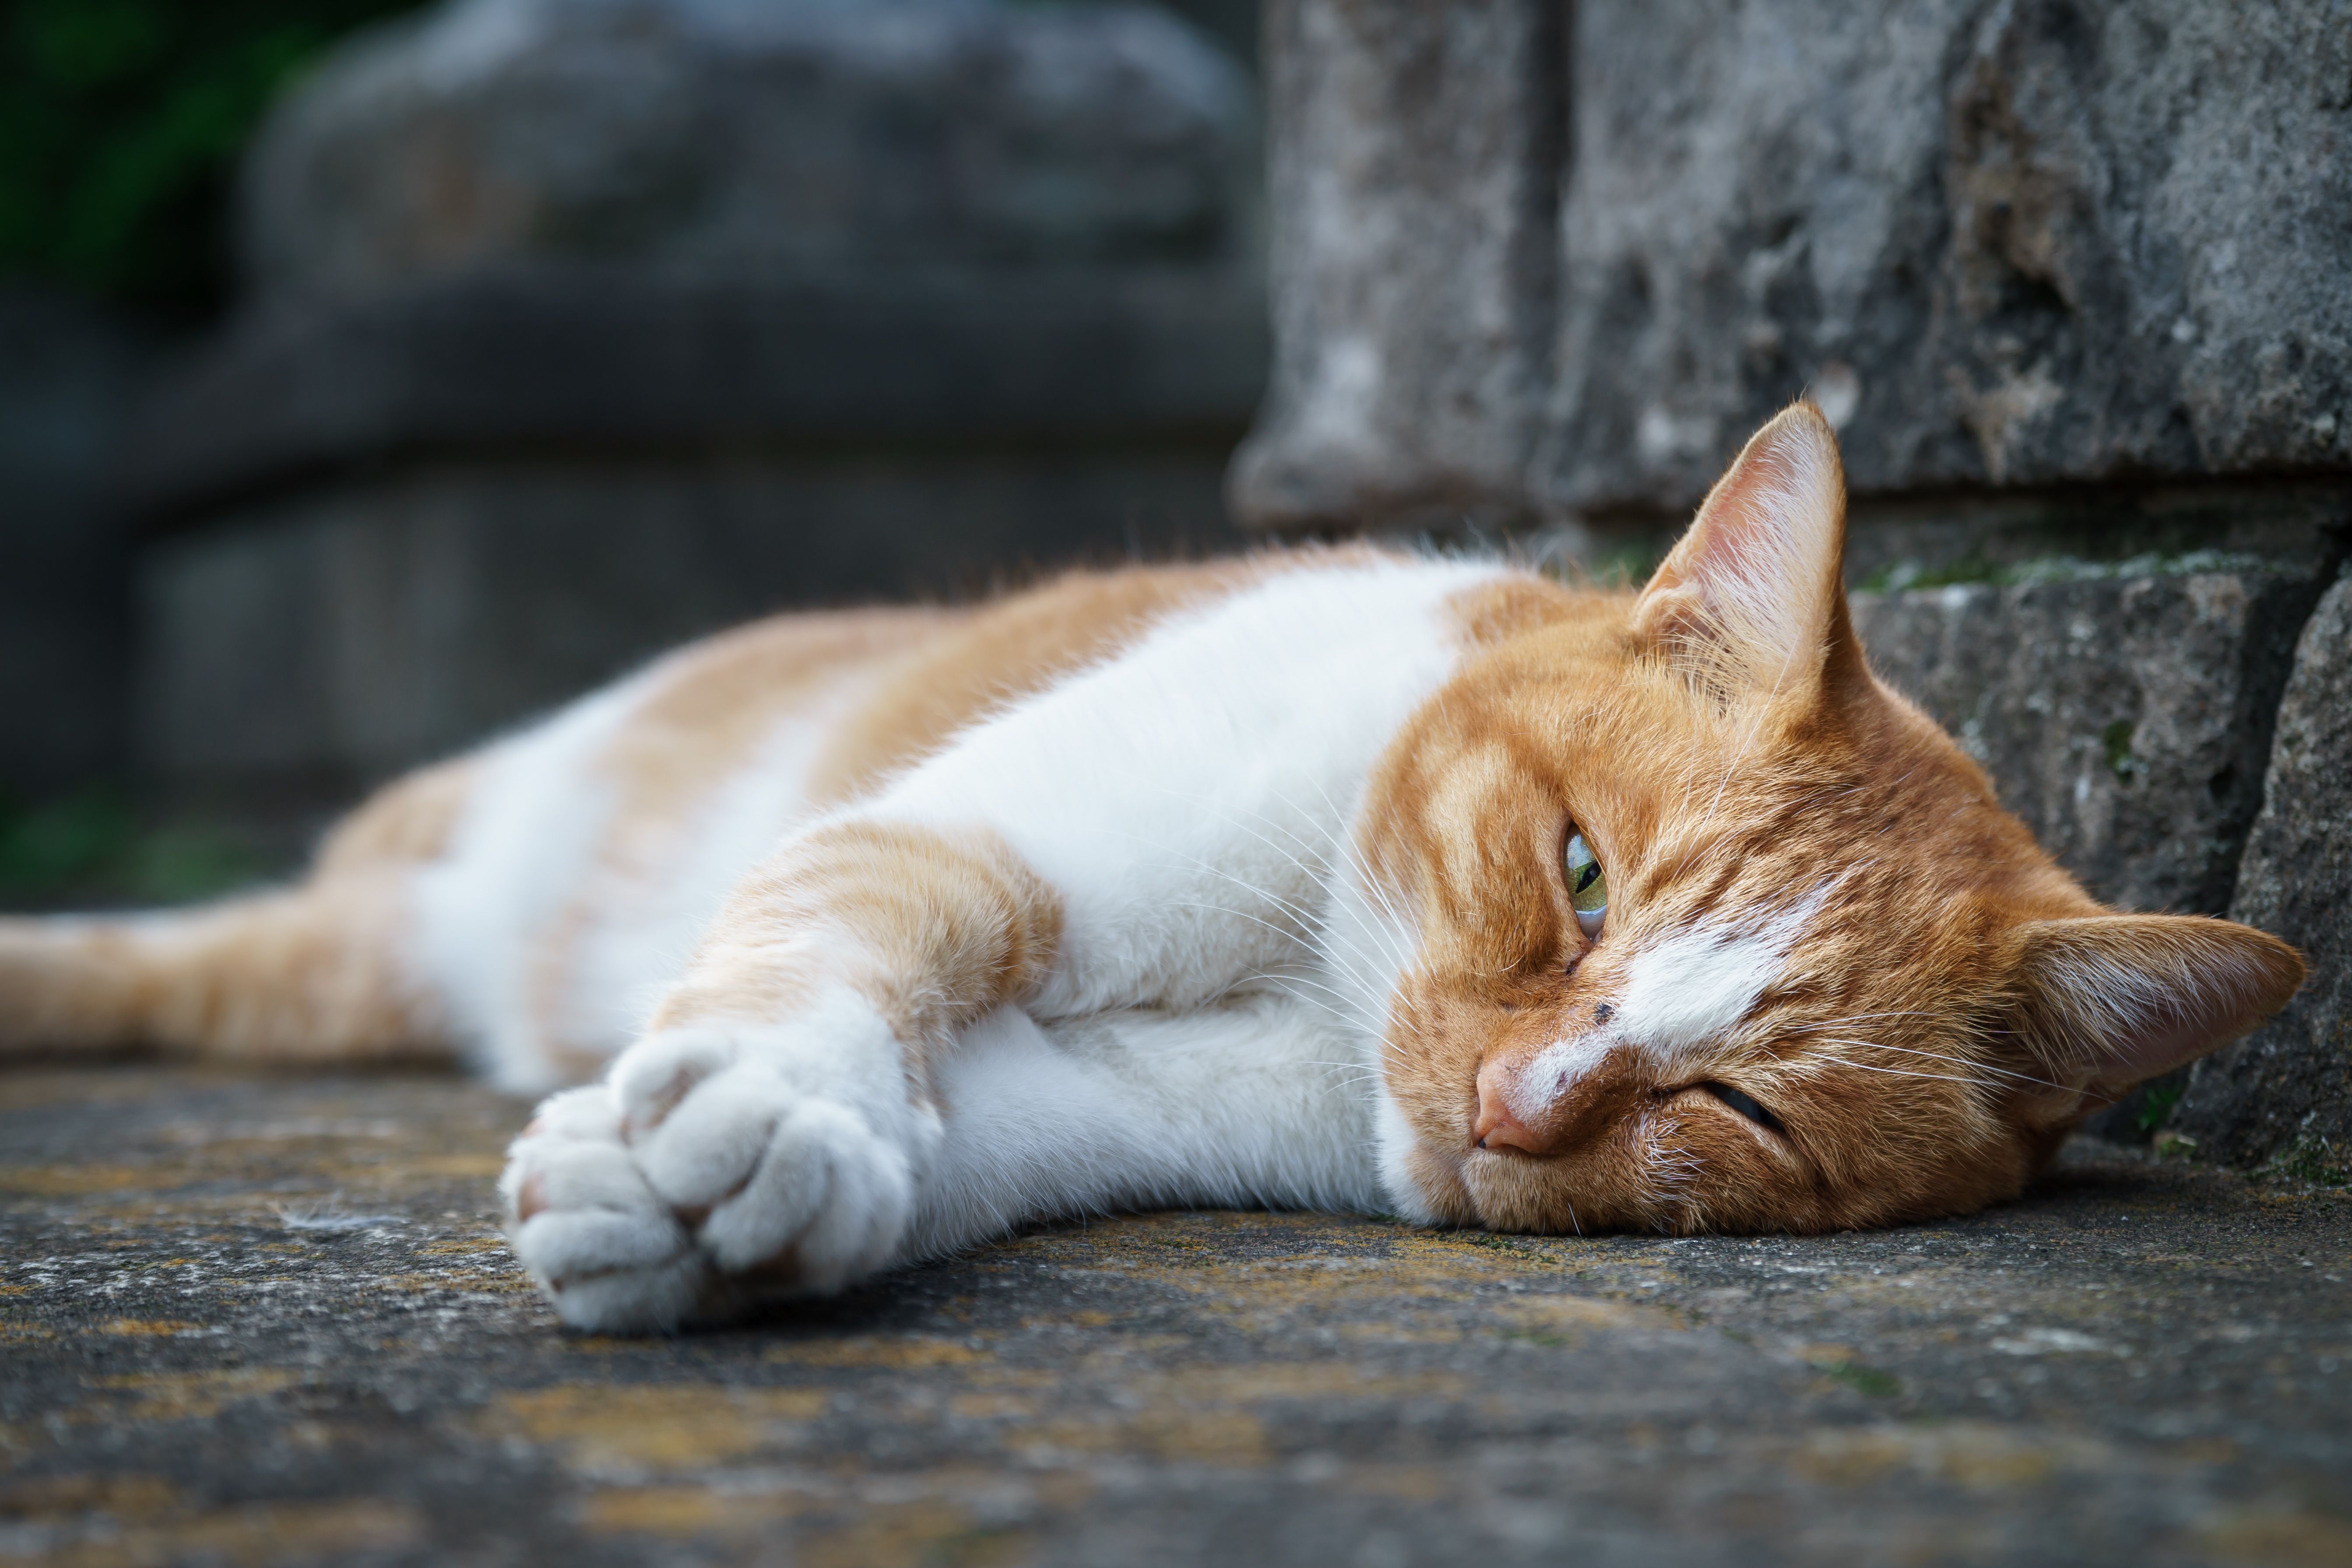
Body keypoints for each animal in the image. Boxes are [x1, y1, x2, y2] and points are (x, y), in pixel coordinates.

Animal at [0, 409, 2296, 1335]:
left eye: (1736, 1104)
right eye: (1575, 873)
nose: (1512, 1105)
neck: (1313, 971)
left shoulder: (1112, 1103)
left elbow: (940, 1133)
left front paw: (738, 1213)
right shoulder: (963, 841)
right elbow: (841, 951)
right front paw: (744, 1115)